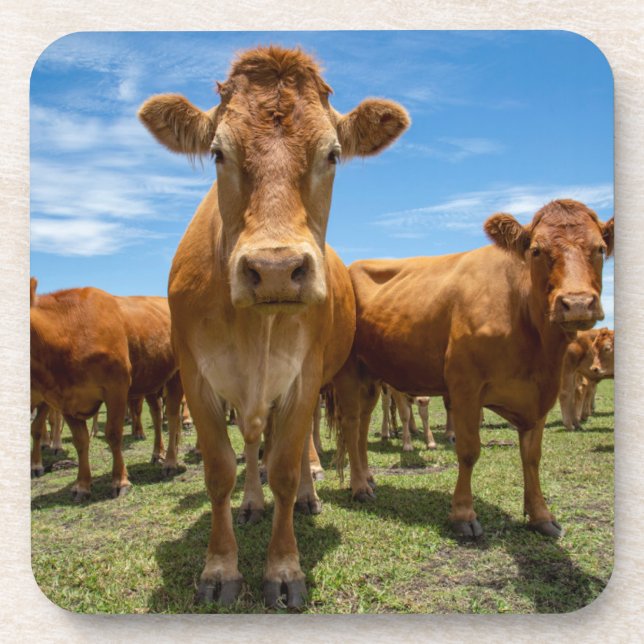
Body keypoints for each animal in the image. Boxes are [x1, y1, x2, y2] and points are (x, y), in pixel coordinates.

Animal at [30, 280, 183, 498]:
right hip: (152, 380)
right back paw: (158, 453)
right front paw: (82, 485)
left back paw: (170, 461)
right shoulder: (65, 400)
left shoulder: (116, 388)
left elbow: (113, 433)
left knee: (172, 416)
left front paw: (120, 481)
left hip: (176, 376)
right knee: (157, 415)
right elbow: (80, 441)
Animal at [138, 45, 409, 608]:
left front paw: (284, 569)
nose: (277, 269)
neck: (253, 331)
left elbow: (284, 467)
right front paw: (220, 568)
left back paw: (315, 491)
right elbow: (221, 470)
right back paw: (252, 503)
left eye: (332, 154)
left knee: (319, 438)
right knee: (252, 442)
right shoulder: (197, 379)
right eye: (218, 153)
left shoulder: (304, 377)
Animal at [331, 199, 613, 540]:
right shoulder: (465, 387)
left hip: (371, 374)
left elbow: (532, 456)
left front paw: (541, 515)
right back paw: (359, 487)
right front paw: (463, 515)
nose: (577, 303)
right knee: (350, 423)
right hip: (349, 371)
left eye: (600, 249)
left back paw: (367, 477)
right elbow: (468, 451)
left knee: (362, 425)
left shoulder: (541, 393)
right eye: (536, 250)